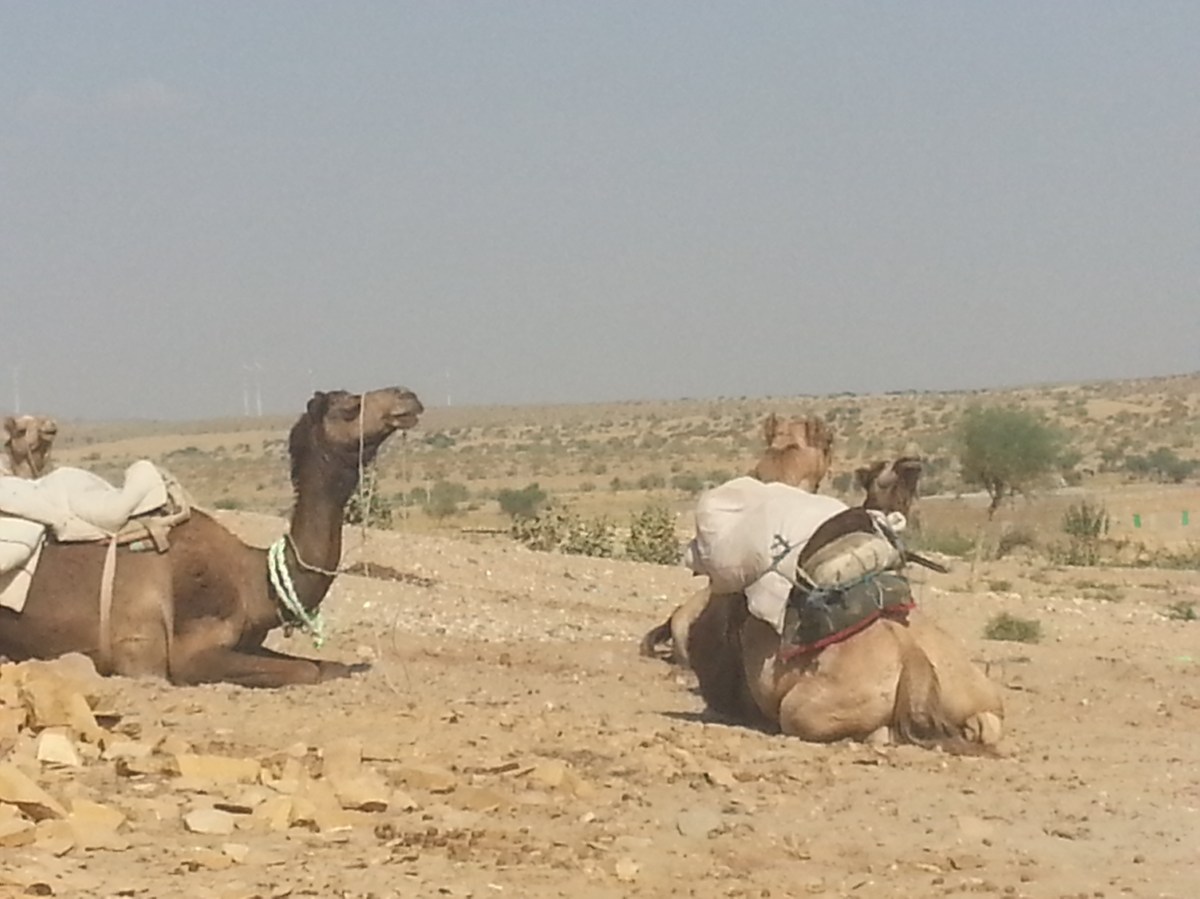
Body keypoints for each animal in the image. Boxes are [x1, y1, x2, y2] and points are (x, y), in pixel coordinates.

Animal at [0, 386, 423, 688]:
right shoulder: (179, 656)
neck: (252, 580)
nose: (407, 397)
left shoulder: (247, 641)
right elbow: (308, 672)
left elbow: (327, 666)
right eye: (348, 406)